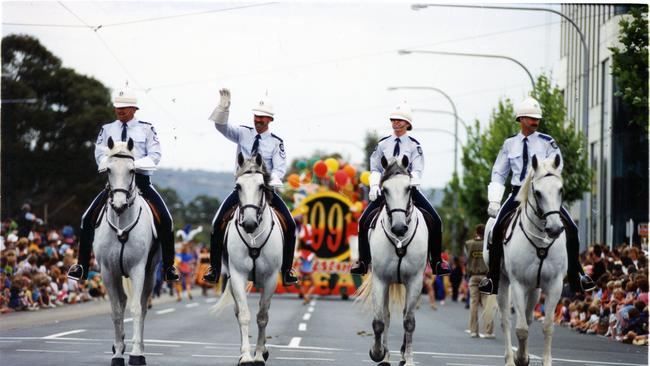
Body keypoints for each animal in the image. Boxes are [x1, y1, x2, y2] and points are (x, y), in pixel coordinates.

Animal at [92, 137, 159, 366]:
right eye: (108, 170)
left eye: (132, 170)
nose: (119, 205)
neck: (121, 224)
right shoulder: (107, 271)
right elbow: (116, 311)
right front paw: (118, 353)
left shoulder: (138, 269)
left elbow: (136, 308)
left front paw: (136, 353)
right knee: (121, 302)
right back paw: (119, 345)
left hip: (150, 273)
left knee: (143, 305)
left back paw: (141, 348)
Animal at [214, 153, 282, 364]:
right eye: (238, 186)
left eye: (261, 186)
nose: (250, 223)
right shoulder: (238, 275)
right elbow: (244, 315)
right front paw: (245, 356)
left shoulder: (270, 278)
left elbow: (263, 316)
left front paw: (259, 354)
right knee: (238, 312)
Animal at [352, 156, 428, 366]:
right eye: (384, 189)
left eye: (409, 188)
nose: (400, 228)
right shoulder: (381, 279)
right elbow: (380, 321)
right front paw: (378, 353)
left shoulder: (415, 281)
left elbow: (409, 321)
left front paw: (408, 360)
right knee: (386, 315)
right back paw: (386, 356)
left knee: (405, 314)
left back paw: (402, 355)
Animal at [480, 154, 568, 366]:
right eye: (538, 193)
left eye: (560, 189)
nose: (554, 229)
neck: (541, 239)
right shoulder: (518, 284)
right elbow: (520, 328)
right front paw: (519, 358)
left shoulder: (554, 284)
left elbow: (547, 326)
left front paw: (543, 360)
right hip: (503, 282)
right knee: (506, 321)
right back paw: (511, 358)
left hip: (535, 288)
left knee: (528, 317)